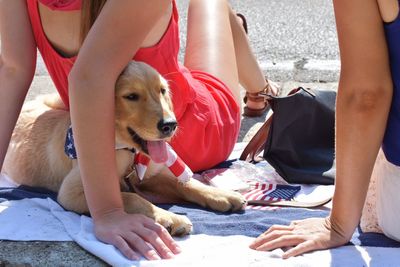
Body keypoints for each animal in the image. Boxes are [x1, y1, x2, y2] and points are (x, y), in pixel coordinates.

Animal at [3, 62, 245, 237]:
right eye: (131, 97)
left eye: (162, 91)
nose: (170, 125)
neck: (127, 151)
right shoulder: (72, 192)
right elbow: (130, 198)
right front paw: (169, 218)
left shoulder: (147, 177)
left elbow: (185, 183)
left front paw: (221, 194)